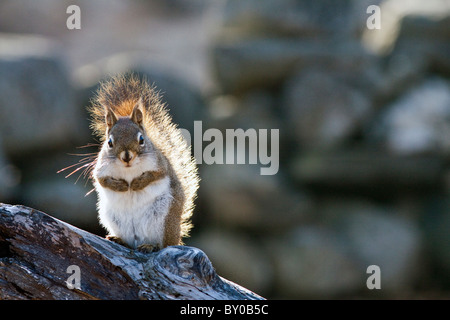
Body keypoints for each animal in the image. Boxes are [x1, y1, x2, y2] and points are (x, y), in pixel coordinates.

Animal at [82, 75, 199, 252]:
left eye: (141, 139)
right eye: (109, 142)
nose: (127, 156)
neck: (129, 170)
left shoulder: (160, 165)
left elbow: (155, 175)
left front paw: (137, 184)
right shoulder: (101, 169)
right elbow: (102, 181)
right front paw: (121, 186)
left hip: (163, 221)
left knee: (162, 244)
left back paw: (151, 245)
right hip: (113, 219)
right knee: (130, 241)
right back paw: (119, 240)